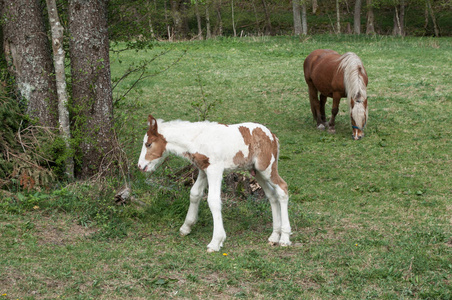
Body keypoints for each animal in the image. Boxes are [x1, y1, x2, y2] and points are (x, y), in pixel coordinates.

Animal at [139, 115, 294, 253]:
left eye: (148, 144)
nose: (140, 166)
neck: (197, 138)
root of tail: (272, 136)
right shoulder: (203, 170)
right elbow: (194, 193)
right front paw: (186, 227)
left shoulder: (215, 170)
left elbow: (213, 201)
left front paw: (216, 242)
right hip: (257, 171)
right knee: (272, 195)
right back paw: (274, 236)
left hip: (266, 167)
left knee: (282, 189)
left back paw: (284, 238)